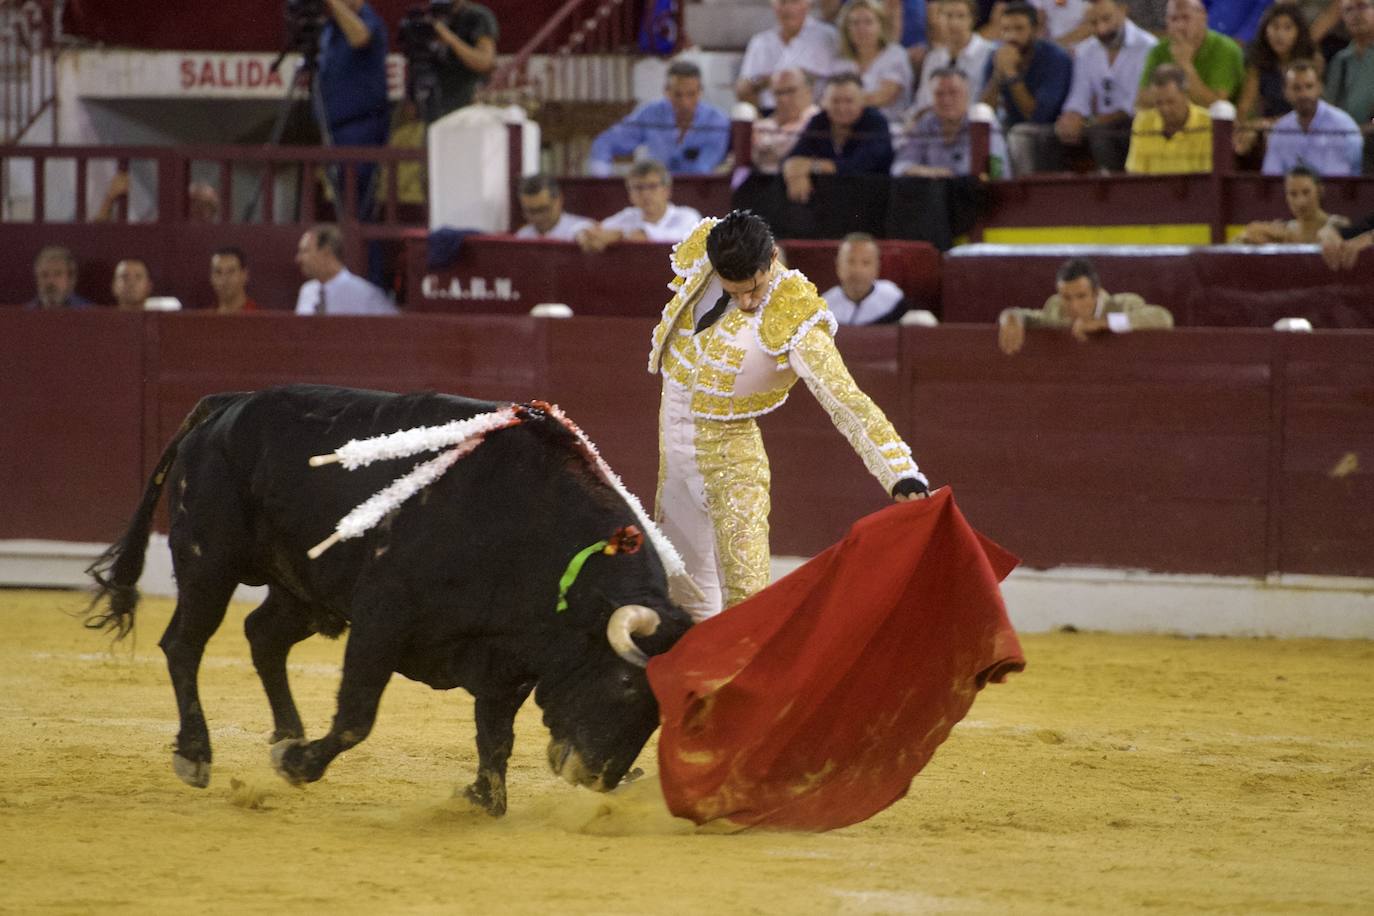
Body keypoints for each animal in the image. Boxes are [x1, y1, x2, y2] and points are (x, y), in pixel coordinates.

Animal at [81, 384, 692, 813]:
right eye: (626, 683)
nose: (598, 777)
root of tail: (226, 405)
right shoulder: (382, 618)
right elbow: (358, 716)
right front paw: (299, 764)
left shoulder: (507, 657)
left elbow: (496, 735)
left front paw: (477, 797)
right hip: (209, 562)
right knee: (184, 644)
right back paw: (197, 753)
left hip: (303, 589)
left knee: (262, 637)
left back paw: (285, 733)